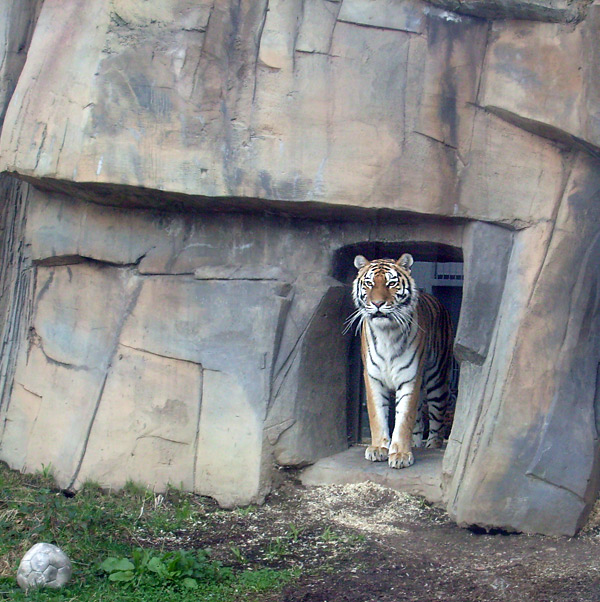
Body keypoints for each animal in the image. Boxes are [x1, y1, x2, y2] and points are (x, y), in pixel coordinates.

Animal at [350, 251, 452, 466]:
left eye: (391, 283)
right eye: (369, 283)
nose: (377, 304)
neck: (387, 332)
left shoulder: (410, 378)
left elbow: (404, 418)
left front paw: (401, 455)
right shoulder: (373, 377)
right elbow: (377, 415)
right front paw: (379, 448)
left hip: (436, 380)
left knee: (437, 418)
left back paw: (432, 445)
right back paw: (416, 443)